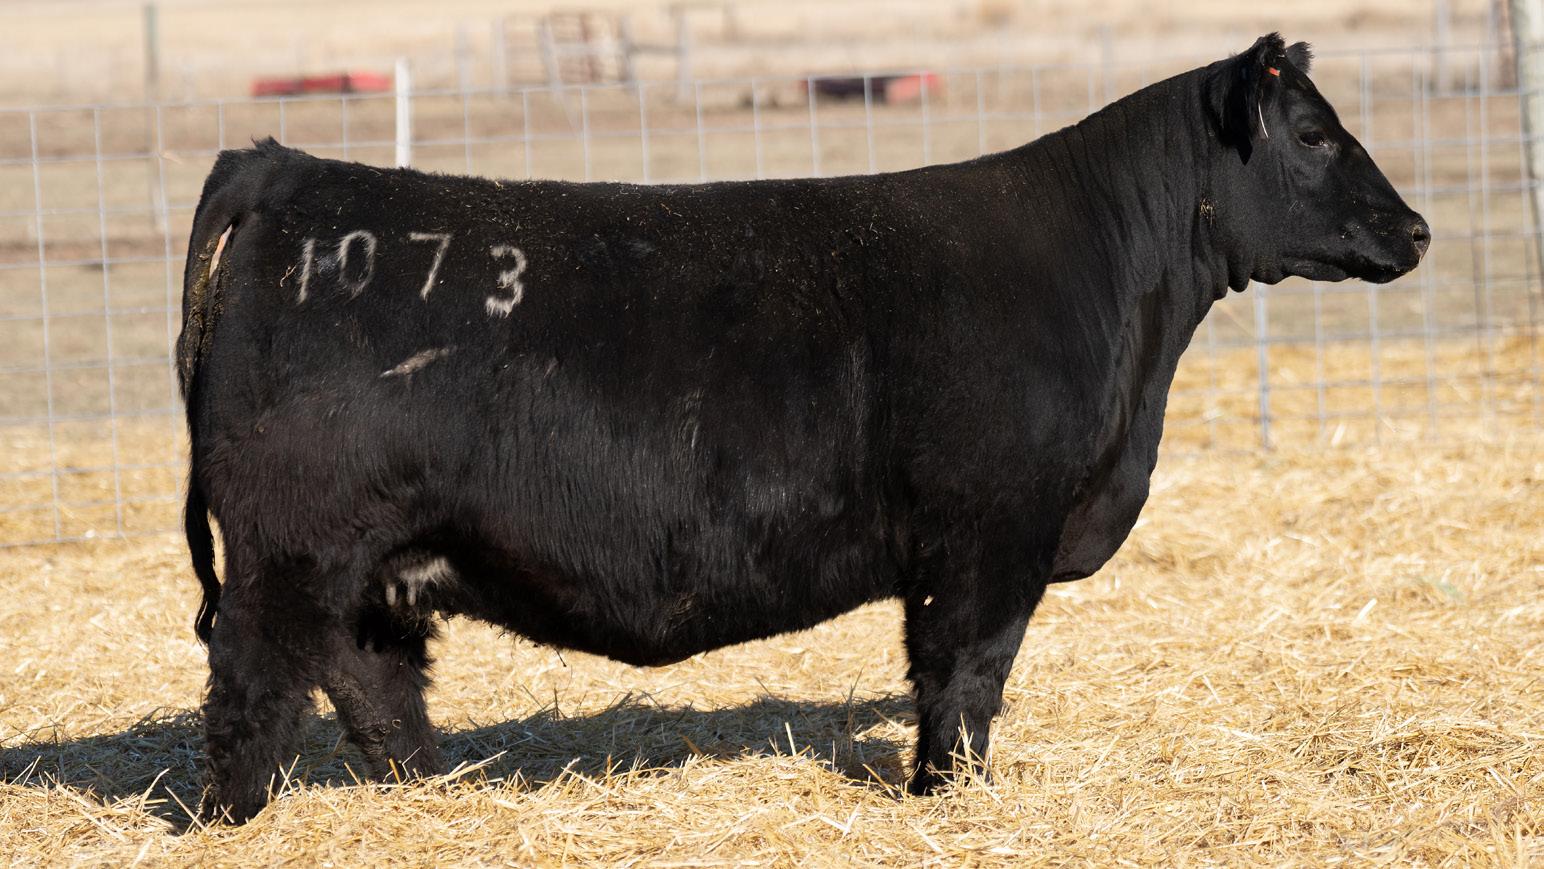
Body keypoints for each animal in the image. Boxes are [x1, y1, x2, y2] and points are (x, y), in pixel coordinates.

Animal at [177, 34, 1428, 822]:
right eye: (1310, 132)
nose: (1413, 229)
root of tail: (285, 169)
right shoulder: (988, 533)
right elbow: (965, 674)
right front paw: (947, 794)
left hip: (367, 557)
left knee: (371, 680)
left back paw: (431, 790)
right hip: (287, 545)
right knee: (250, 686)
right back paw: (235, 817)